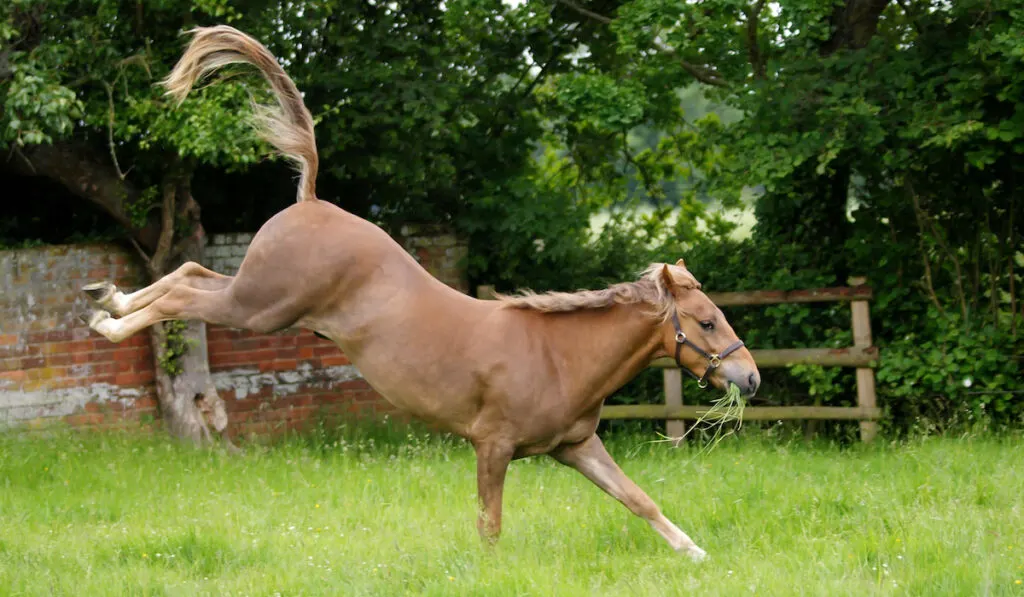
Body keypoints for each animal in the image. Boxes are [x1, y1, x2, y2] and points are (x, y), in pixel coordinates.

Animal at [81, 26, 761, 561]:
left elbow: (639, 500)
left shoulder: (577, 448)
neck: (558, 355)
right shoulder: (492, 446)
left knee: (190, 271)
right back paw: (109, 317)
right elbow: (490, 526)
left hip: (256, 298)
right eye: (706, 322)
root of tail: (311, 198)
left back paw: (107, 299)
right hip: (260, 308)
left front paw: (695, 554)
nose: (751, 378)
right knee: (181, 295)